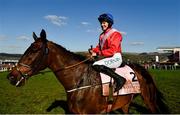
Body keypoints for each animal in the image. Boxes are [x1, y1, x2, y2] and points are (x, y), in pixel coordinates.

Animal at [6, 29, 169, 113]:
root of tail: (141, 69)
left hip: (149, 100)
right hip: (125, 103)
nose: (11, 76)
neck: (79, 82)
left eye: (34, 49)